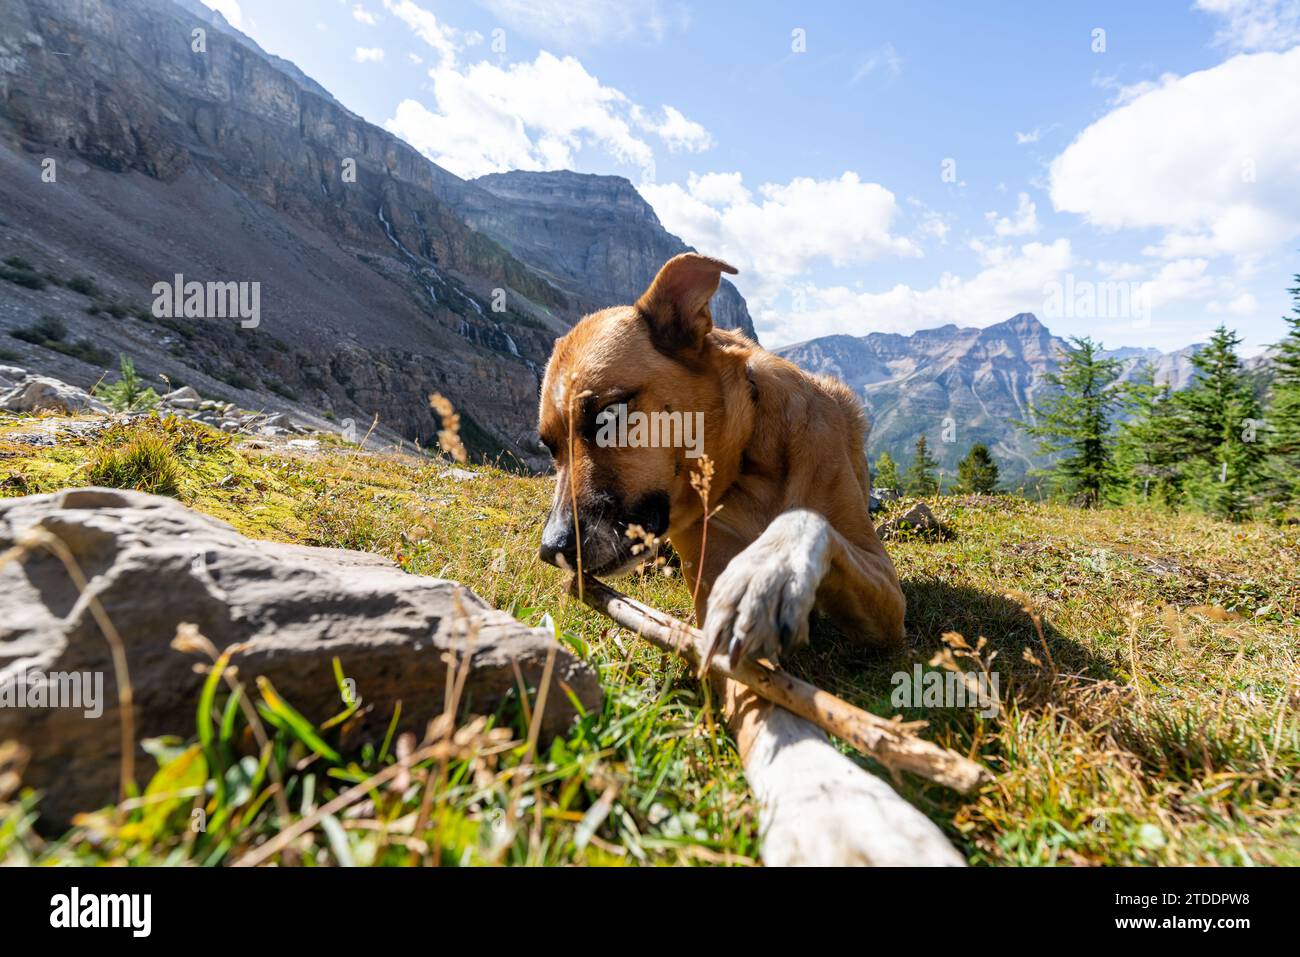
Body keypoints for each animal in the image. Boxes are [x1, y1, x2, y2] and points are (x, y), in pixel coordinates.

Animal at [533, 254, 961, 868]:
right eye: (547, 446)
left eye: (608, 414)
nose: (551, 550)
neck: (746, 467)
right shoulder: (710, 605)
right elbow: (759, 696)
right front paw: (834, 802)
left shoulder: (886, 598)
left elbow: (807, 521)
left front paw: (770, 571)